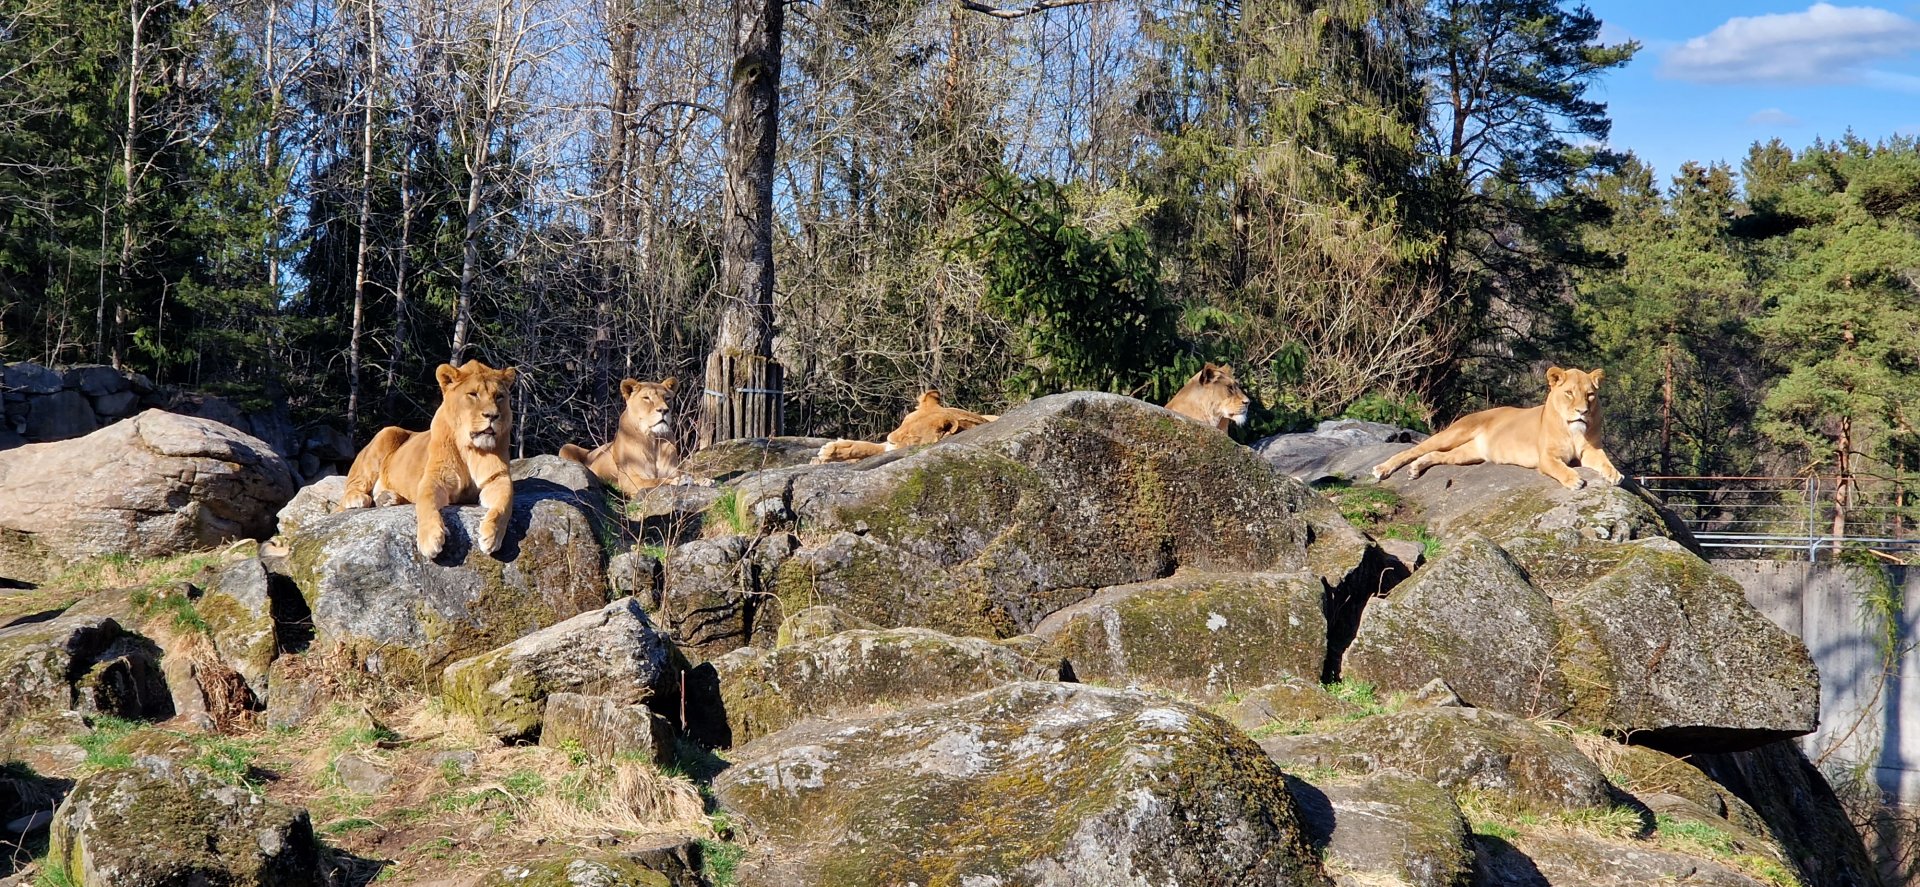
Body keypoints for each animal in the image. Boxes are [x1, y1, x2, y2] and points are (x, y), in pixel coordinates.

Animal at [341, 360, 518, 558]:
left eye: (499, 396)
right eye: (473, 394)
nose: (492, 415)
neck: (470, 448)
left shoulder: (499, 478)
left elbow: (504, 505)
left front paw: (491, 536)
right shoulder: (435, 478)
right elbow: (426, 503)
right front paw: (430, 538)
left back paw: (388, 498)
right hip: (387, 433)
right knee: (349, 490)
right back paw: (357, 498)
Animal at [558, 377, 700, 496]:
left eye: (667, 398)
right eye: (646, 398)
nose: (664, 410)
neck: (653, 440)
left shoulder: (672, 469)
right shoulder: (629, 479)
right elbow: (655, 481)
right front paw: (678, 481)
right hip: (566, 447)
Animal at [1370, 366, 1622, 490]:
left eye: (1590, 395)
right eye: (1569, 393)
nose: (1582, 411)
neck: (1573, 430)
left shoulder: (1591, 450)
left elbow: (1604, 461)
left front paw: (1615, 474)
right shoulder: (1546, 457)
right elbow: (1559, 468)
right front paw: (1574, 480)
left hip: (1468, 454)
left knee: (1435, 455)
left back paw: (1416, 469)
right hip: (1453, 433)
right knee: (1413, 450)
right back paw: (1383, 468)